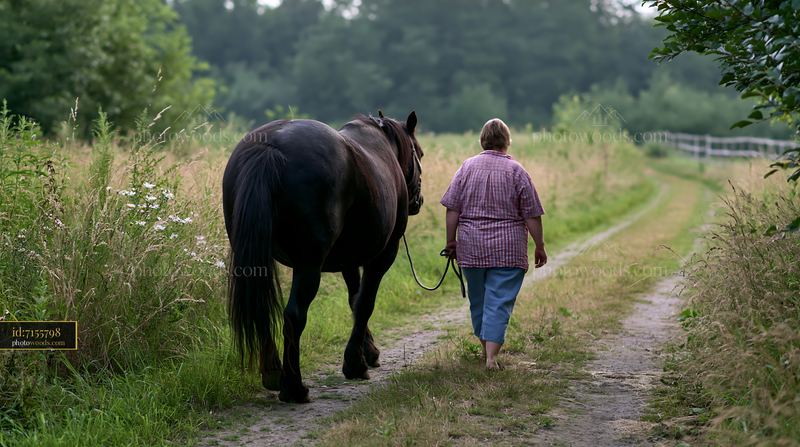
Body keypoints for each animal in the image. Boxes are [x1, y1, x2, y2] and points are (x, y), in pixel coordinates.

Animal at [222, 111, 423, 403]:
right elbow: (365, 303)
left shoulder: (349, 260)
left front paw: (367, 352)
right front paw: (355, 364)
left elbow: (354, 300)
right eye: (420, 153)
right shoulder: (383, 256)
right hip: (309, 265)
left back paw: (273, 373)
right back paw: (294, 388)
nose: (418, 200)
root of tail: (269, 146)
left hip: (256, 260)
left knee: (261, 310)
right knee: (294, 315)